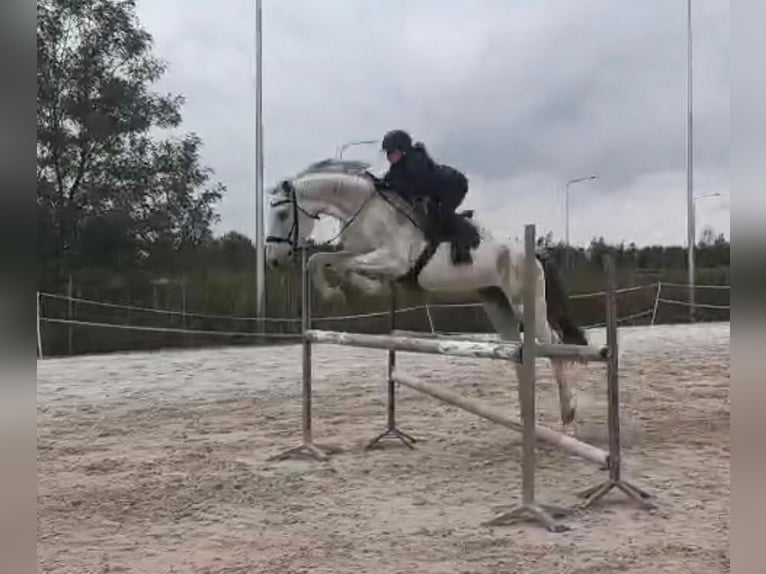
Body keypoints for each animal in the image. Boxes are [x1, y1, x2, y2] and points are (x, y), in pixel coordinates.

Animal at [268, 158, 592, 428]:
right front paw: (334, 293)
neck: (366, 211)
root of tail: (533, 251)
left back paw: (568, 411)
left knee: (553, 347)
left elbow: (347, 266)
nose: (274, 261)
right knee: (518, 353)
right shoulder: (358, 252)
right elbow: (318, 259)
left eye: (282, 214)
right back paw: (526, 416)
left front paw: (358, 289)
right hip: (497, 304)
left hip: (525, 302)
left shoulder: (393, 261)